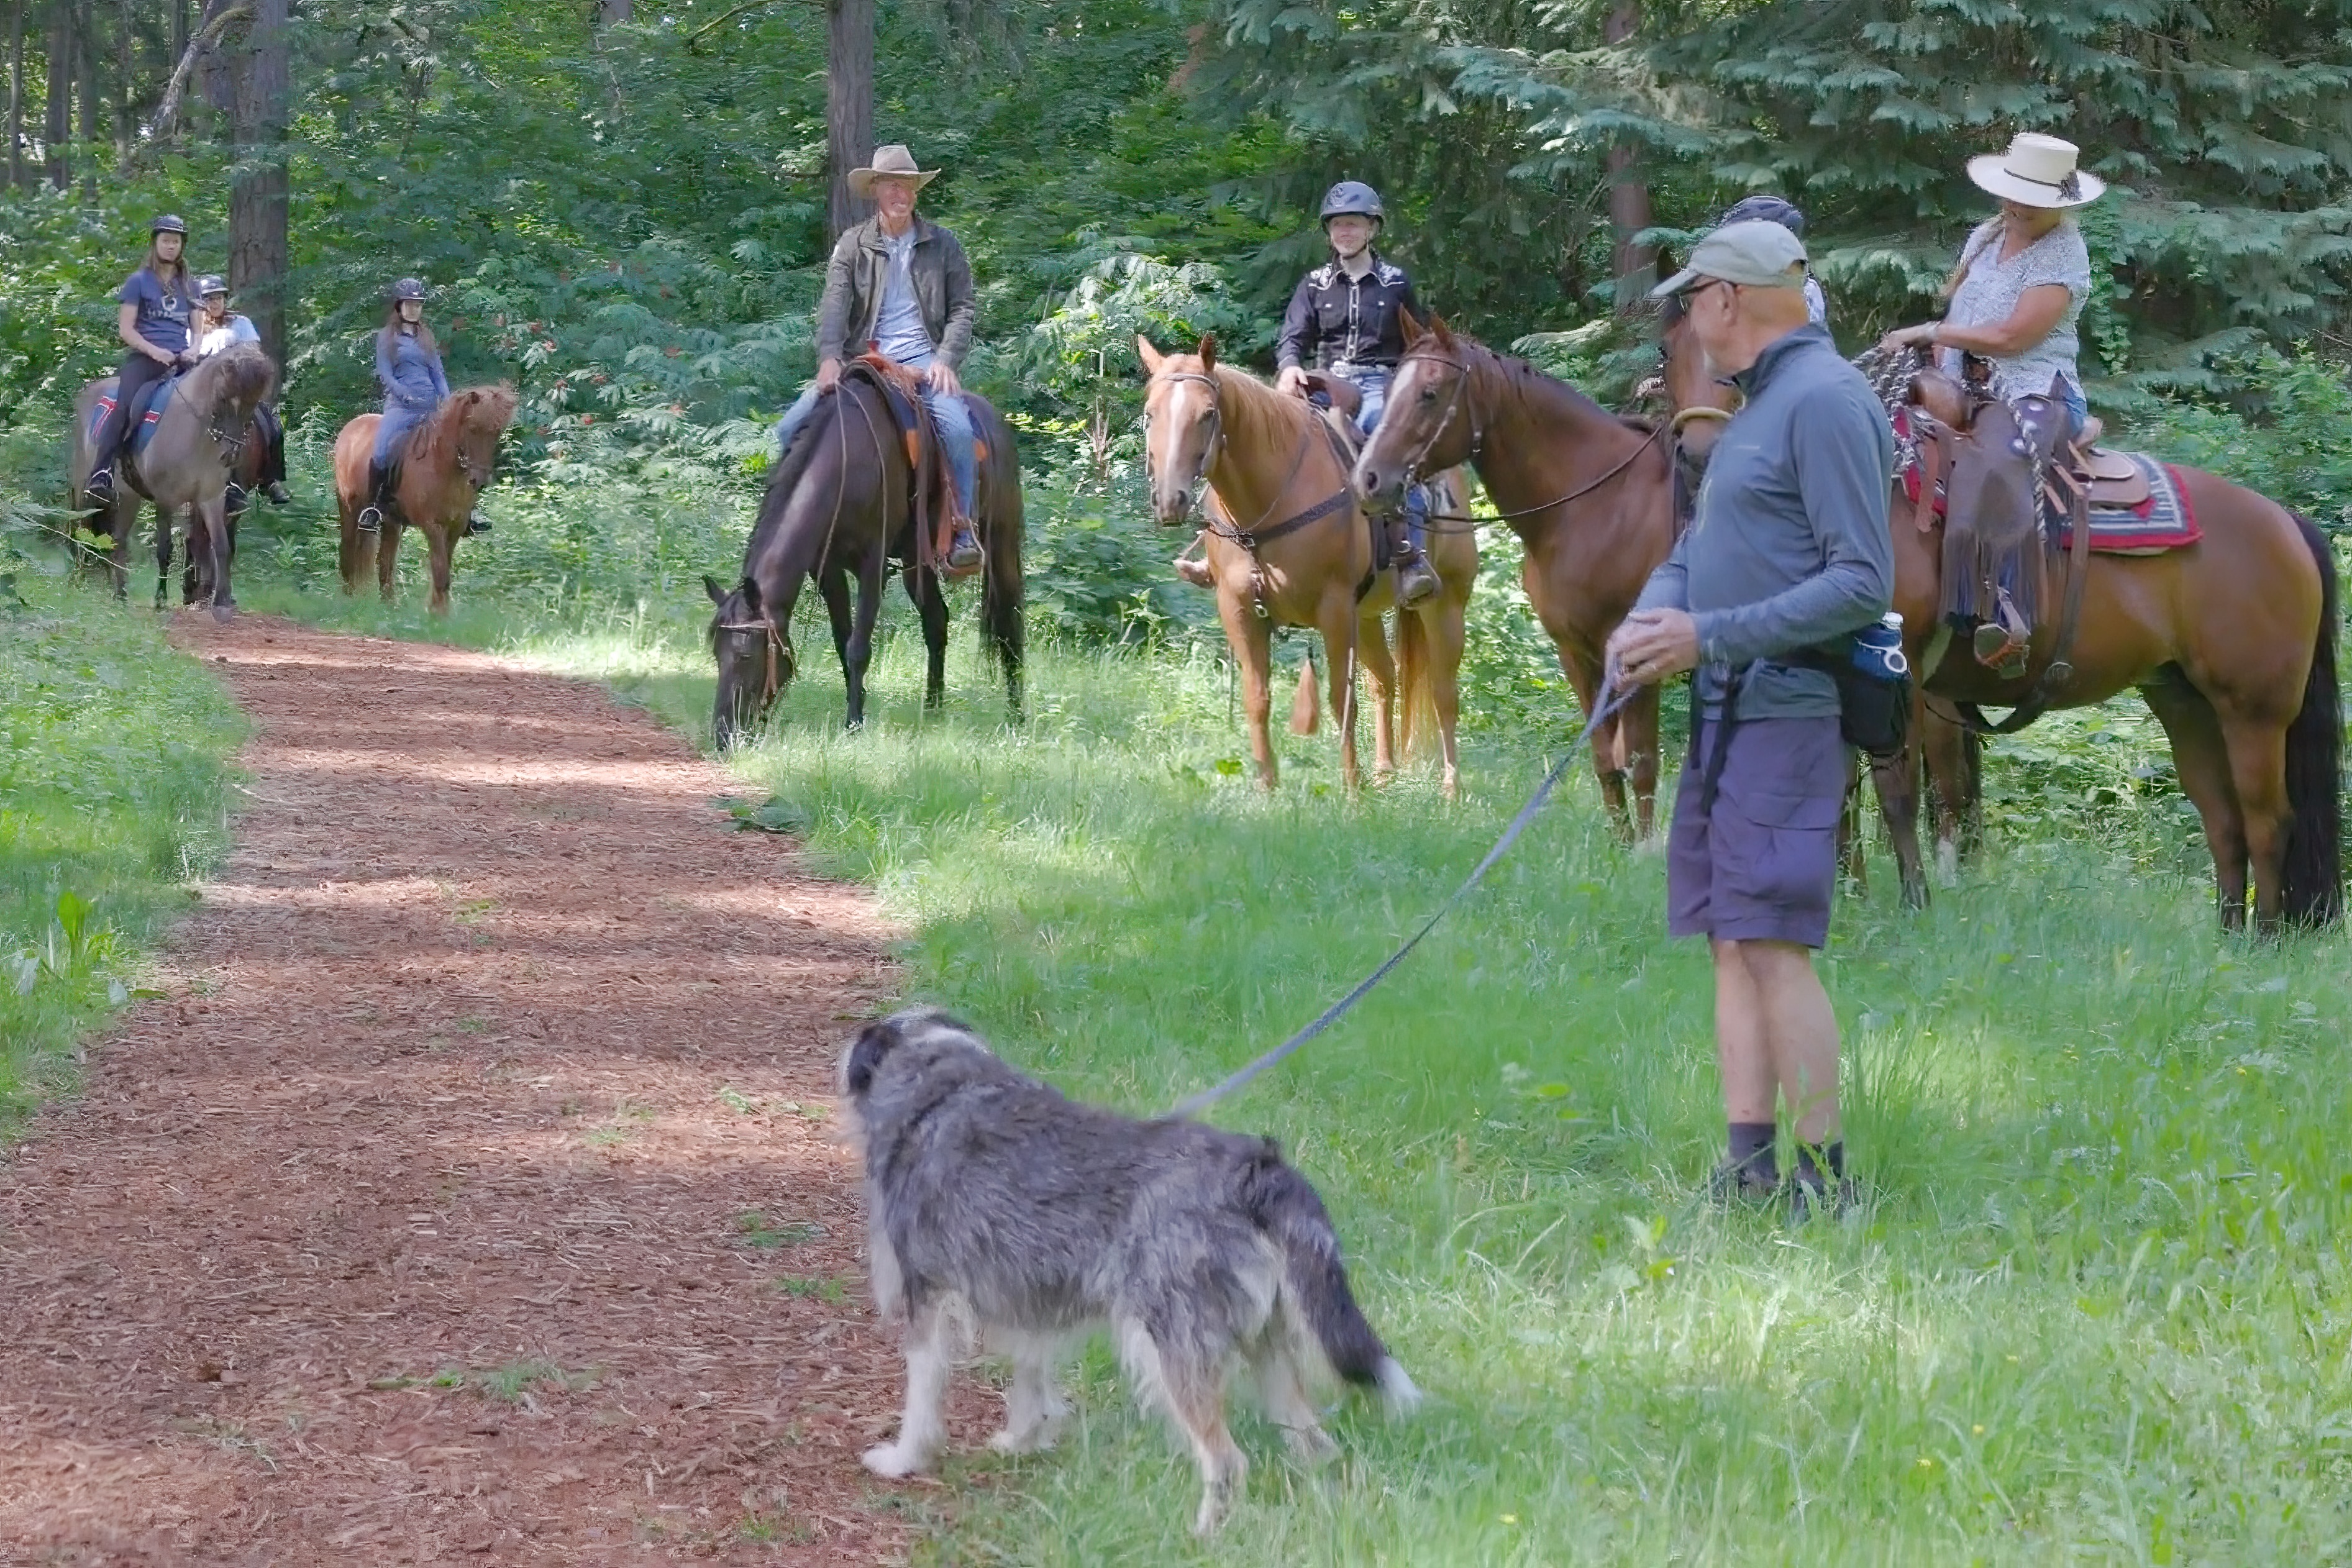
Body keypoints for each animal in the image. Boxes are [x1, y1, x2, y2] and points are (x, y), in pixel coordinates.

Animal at [327, 383, 515, 616]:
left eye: (497, 433)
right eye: (472, 428)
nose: (478, 480)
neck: (442, 466)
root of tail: (352, 427)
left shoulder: (455, 527)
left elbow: (444, 571)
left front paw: (440, 611)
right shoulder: (433, 526)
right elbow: (441, 572)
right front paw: (438, 616)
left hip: (391, 521)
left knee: (385, 562)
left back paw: (390, 607)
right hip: (349, 508)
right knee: (348, 552)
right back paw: (349, 598)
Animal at [846, 1006, 1411, 1533]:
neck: (940, 1088)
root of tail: (1255, 1170)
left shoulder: (928, 1297)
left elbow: (923, 1397)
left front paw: (904, 1460)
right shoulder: (1028, 1300)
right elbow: (1030, 1381)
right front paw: (1023, 1440)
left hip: (1176, 1351)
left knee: (1228, 1461)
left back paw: (1203, 1538)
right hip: (1268, 1348)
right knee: (1316, 1446)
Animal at [1354, 310, 1684, 841]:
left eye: (1429, 393)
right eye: (1388, 392)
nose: (1368, 480)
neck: (1598, 505)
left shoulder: (1639, 663)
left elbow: (1642, 763)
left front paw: (1644, 850)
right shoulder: (1577, 654)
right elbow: (1605, 759)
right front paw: (1620, 845)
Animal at [1656, 305, 2333, 931]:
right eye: (1669, 349)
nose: (1699, 453)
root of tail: (2283, 520)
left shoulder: (1897, 671)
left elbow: (1898, 791)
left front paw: (1914, 902)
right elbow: (1834, 789)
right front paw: (1842, 897)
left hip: (2254, 710)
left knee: (2268, 820)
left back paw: (2264, 937)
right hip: (2184, 701)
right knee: (2222, 819)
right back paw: (2229, 936)